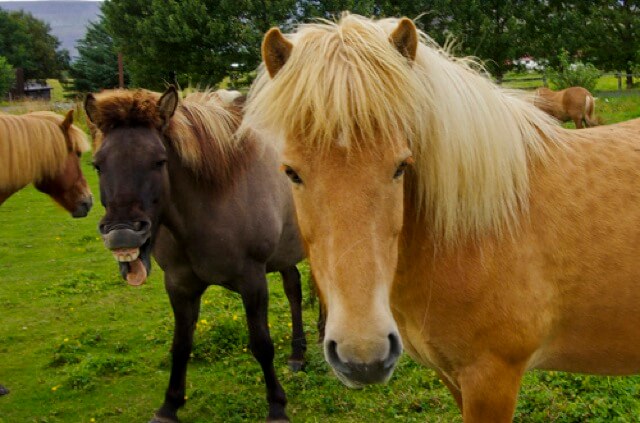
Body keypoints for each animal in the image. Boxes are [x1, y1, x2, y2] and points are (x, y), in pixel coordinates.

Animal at [85, 87, 306, 423]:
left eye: (159, 161)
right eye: (98, 164)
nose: (122, 234)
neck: (214, 197)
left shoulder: (253, 280)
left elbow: (262, 344)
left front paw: (277, 406)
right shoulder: (179, 284)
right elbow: (181, 344)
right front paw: (169, 405)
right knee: (294, 288)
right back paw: (298, 353)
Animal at [244, 13, 640, 422]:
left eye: (401, 166)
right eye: (291, 172)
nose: (363, 356)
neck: (475, 235)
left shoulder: (491, 378)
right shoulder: (453, 377)